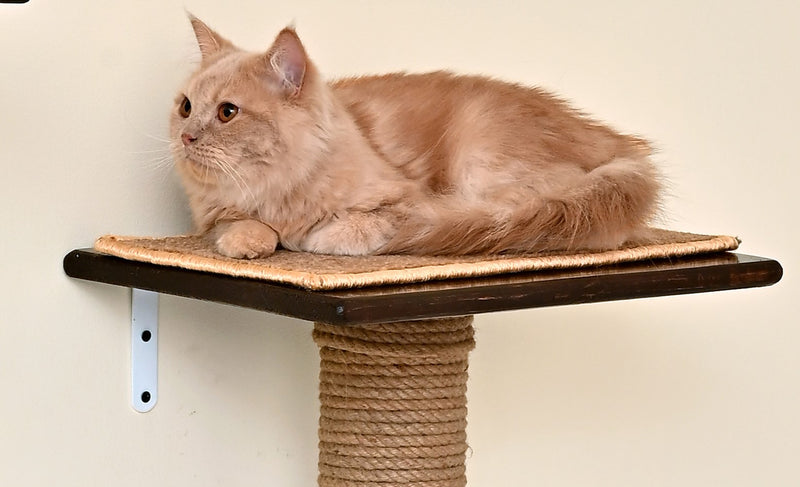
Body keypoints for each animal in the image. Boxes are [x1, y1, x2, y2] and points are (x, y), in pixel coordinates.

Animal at [167, 15, 656, 260]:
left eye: (227, 112)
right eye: (186, 106)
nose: (187, 137)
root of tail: (616, 143)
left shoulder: (402, 199)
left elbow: (354, 225)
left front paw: (310, 235)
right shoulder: (217, 216)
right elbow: (239, 226)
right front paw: (250, 239)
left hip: (489, 163)